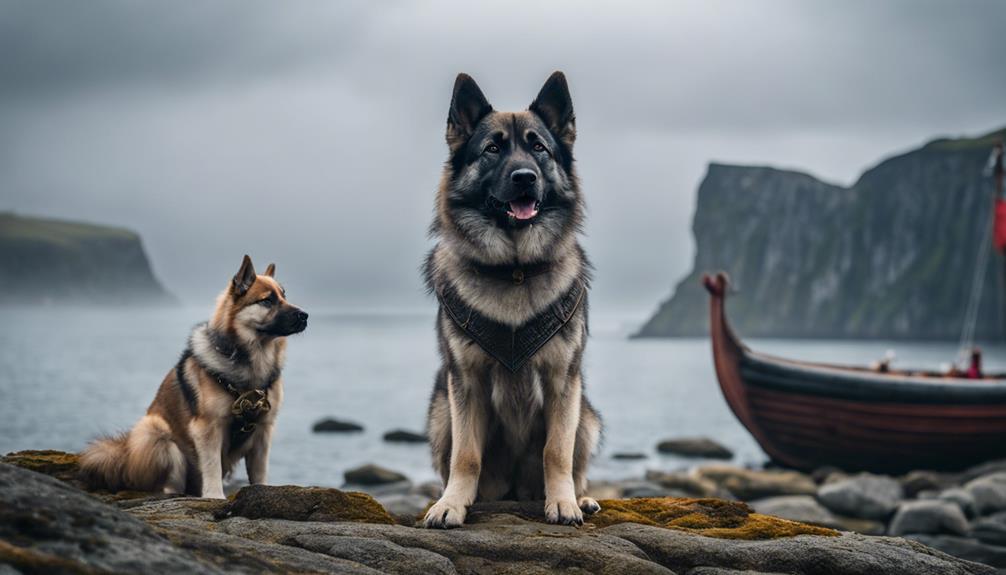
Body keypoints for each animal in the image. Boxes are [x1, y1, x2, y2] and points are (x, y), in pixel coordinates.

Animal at [79, 253, 305, 496]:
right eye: (267, 300)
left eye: (284, 296)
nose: (305, 316)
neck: (252, 360)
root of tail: (126, 460)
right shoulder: (207, 428)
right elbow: (212, 466)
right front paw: (215, 496)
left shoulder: (263, 431)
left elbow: (260, 471)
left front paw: (262, 489)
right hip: (157, 434)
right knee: (167, 482)